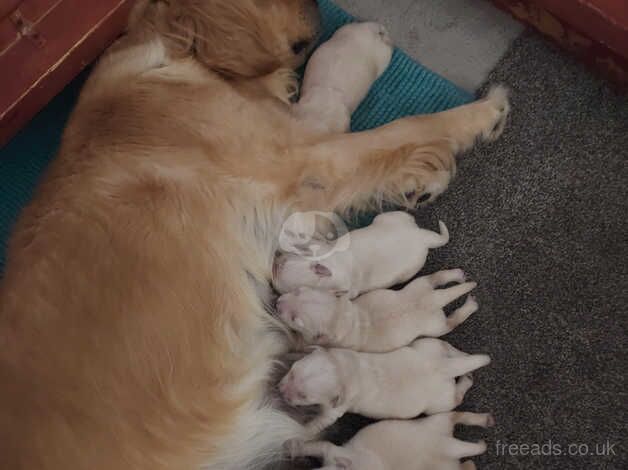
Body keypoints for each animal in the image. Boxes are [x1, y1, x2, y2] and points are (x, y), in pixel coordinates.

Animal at [272, 213, 448, 298]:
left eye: (279, 269)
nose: (275, 258)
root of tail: (422, 236)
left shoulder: (346, 291)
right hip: (391, 216)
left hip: (410, 269)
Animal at [278, 270, 478, 350]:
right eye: (297, 291)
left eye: (295, 319)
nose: (277, 302)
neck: (342, 316)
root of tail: (432, 300)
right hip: (418, 285)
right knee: (435, 277)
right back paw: (456, 274)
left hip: (435, 326)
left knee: (450, 323)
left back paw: (470, 306)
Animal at [278, 338, 490, 434]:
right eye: (292, 372)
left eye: (303, 396)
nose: (280, 391)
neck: (342, 368)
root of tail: (443, 368)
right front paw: (290, 352)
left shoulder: (336, 408)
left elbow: (320, 422)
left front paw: (300, 431)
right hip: (427, 346)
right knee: (446, 346)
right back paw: (464, 357)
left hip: (440, 402)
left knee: (456, 397)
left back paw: (466, 379)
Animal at [288, 412, 494, 470]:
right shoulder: (328, 452)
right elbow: (313, 447)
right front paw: (294, 449)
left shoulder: (333, 451)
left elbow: (317, 445)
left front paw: (292, 448)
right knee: (460, 417)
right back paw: (484, 421)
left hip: (442, 436)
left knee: (471, 444)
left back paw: (481, 440)